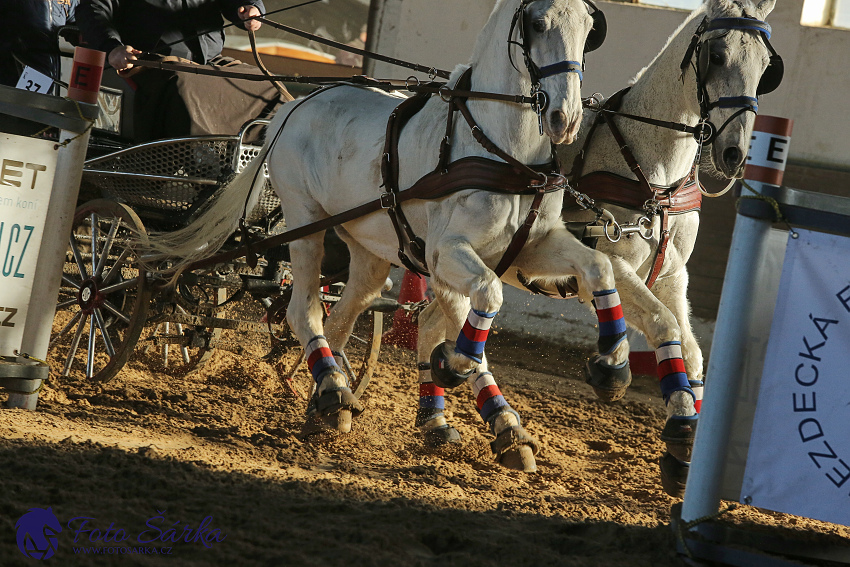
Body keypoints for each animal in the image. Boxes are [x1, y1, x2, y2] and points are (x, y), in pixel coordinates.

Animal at [136, 0, 620, 474]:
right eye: (537, 23)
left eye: (589, 27)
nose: (565, 118)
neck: (501, 153)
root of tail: (294, 107)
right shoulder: (445, 253)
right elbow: (484, 304)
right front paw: (456, 369)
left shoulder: (531, 247)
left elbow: (598, 266)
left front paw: (609, 368)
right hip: (305, 220)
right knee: (302, 310)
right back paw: (332, 389)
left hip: (367, 246)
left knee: (340, 317)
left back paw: (328, 399)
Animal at [414, 0, 780, 496]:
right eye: (718, 56)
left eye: (766, 66)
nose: (734, 154)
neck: (654, 172)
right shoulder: (614, 263)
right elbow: (658, 324)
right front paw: (616, 375)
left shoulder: (673, 277)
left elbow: (691, 350)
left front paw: (684, 443)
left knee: (432, 321)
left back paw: (437, 420)